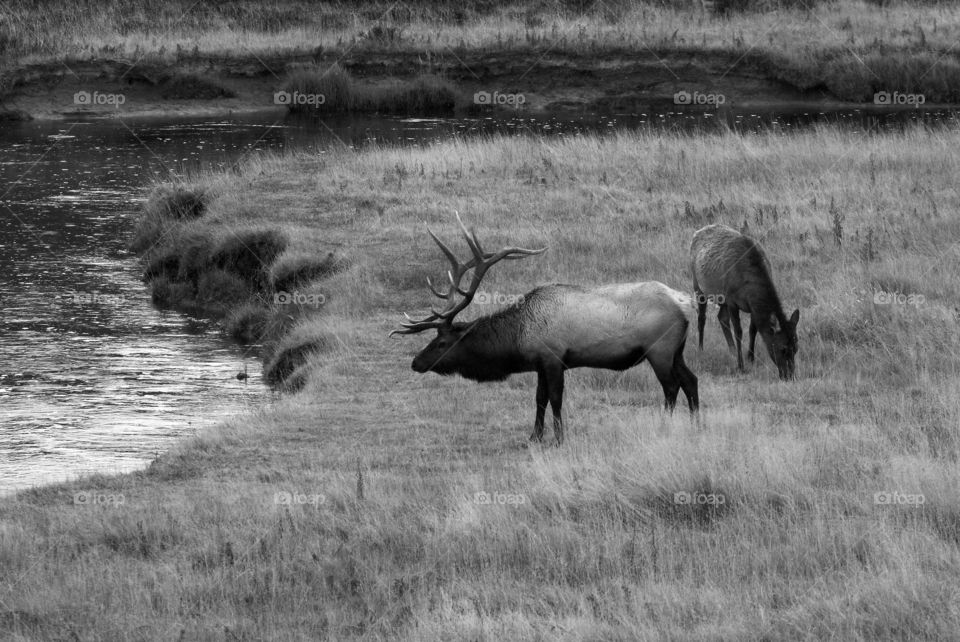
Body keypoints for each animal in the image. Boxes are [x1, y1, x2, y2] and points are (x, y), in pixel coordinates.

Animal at [390, 212, 696, 442]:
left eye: (442, 342)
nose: (416, 362)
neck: (518, 337)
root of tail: (685, 304)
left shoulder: (553, 357)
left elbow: (555, 399)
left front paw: (559, 438)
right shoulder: (539, 363)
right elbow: (539, 399)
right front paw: (534, 436)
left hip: (659, 350)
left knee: (671, 387)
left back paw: (666, 426)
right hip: (677, 351)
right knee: (691, 381)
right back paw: (698, 423)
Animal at [692, 222, 800, 378]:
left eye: (796, 348)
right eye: (782, 348)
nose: (789, 376)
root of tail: (697, 232)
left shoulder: (750, 305)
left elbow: (752, 329)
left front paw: (751, 358)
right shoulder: (732, 300)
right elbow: (739, 332)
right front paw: (741, 365)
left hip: (722, 298)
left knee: (721, 317)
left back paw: (731, 351)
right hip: (697, 285)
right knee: (702, 317)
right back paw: (701, 348)